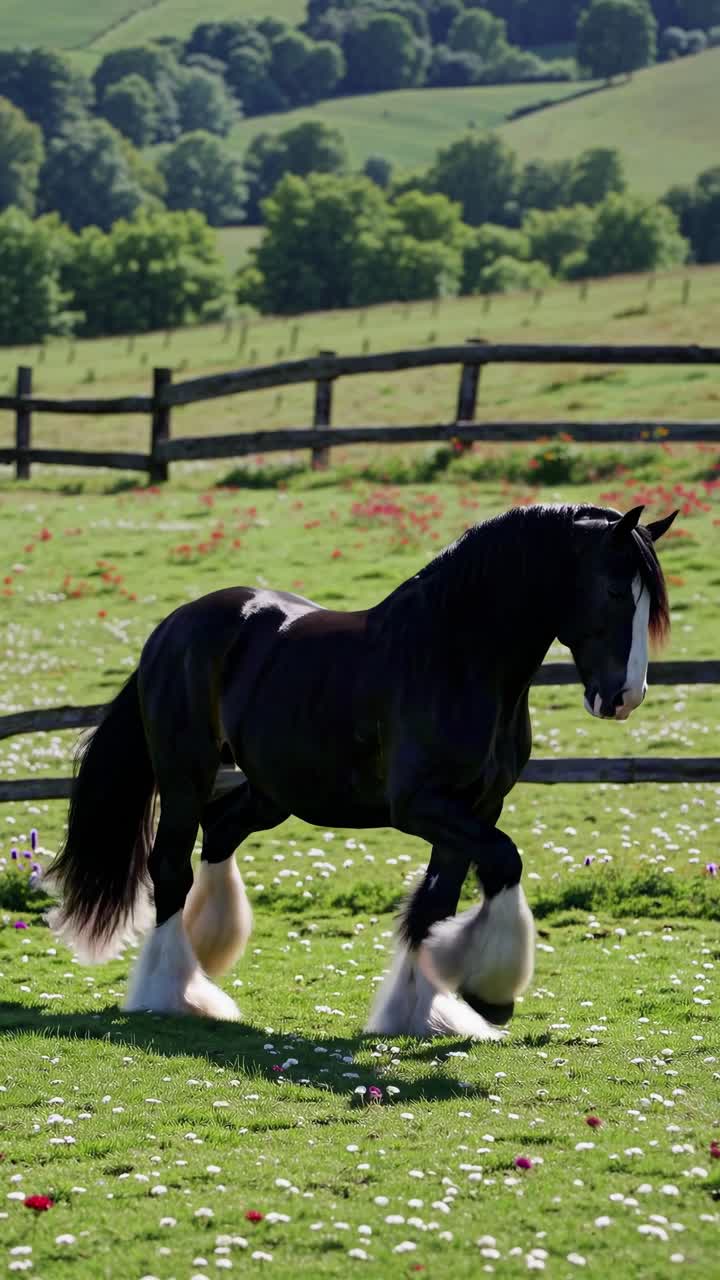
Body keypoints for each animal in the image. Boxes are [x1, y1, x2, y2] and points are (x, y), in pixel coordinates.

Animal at [47, 501, 676, 1040]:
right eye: (616, 590)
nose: (625, 697)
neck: (455, 655)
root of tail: (174, 625)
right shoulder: (422, 807)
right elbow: (503, 860)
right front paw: (490, 995)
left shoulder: (476, 806)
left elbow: (435, 906)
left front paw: (420, 1012)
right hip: (185, 772)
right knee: (171, 866)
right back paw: (171, 992)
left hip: (274, 791)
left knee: (220, 831)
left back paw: (205, 955)